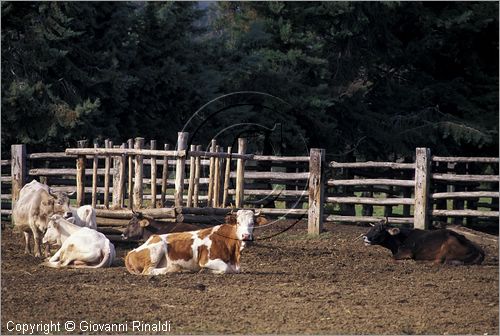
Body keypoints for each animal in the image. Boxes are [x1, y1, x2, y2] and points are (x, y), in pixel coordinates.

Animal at [124, 210, 266, 276]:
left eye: (252, 223)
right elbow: (225, 268)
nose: (246, 236)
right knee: (149, 271)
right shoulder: (207, 261)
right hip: (157, 250)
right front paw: (208, 271)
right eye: (238, 222)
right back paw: (175, 268)